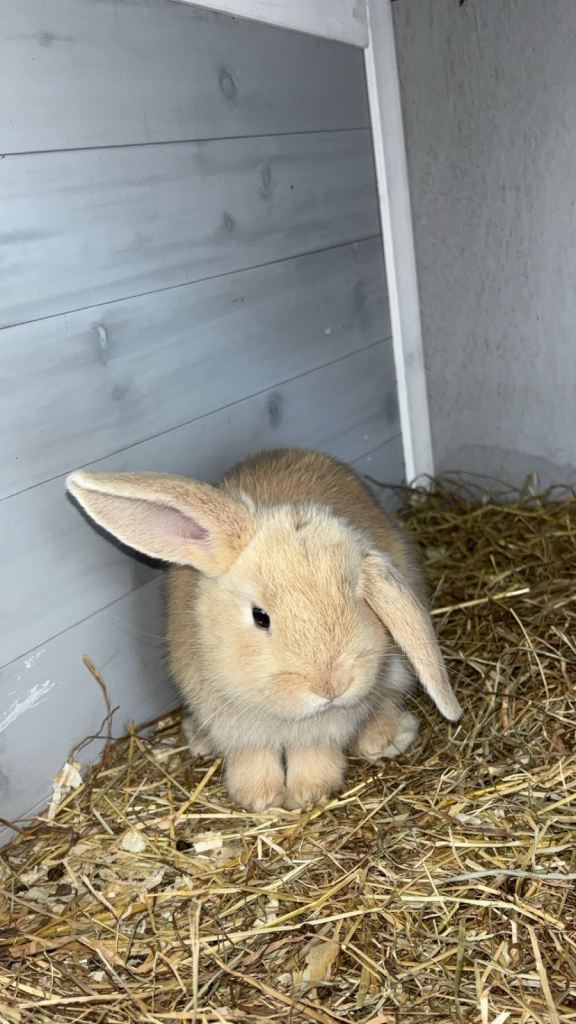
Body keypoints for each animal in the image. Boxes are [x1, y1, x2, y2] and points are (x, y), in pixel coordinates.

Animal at [67, 448, 461, 811]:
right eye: (260, 616)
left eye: (359, 601)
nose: (331, 687)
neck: (283, 716)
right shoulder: (237, 729)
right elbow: (251, 759)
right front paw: (259, 799)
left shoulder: (322, 731)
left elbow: (313, 756)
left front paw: (307, 795)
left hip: (397, 668)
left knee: (390, 697)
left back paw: (384, 738)